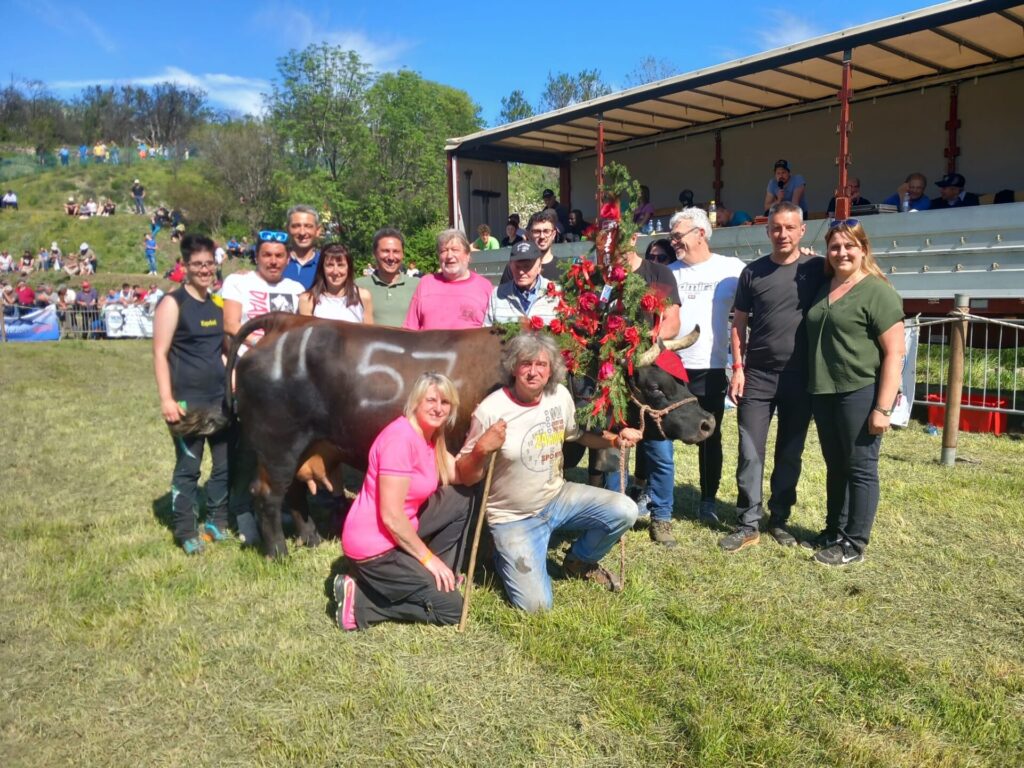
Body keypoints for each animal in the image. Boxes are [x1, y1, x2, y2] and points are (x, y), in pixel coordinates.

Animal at [228, 313, 716, 561]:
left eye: (680, 376)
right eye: (654, 385)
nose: (708, 423)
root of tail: (285, 326)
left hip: (304, 444)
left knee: (293, 492)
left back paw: (309, 538)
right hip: (277, 443)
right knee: (267, 494)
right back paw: (278, 553)